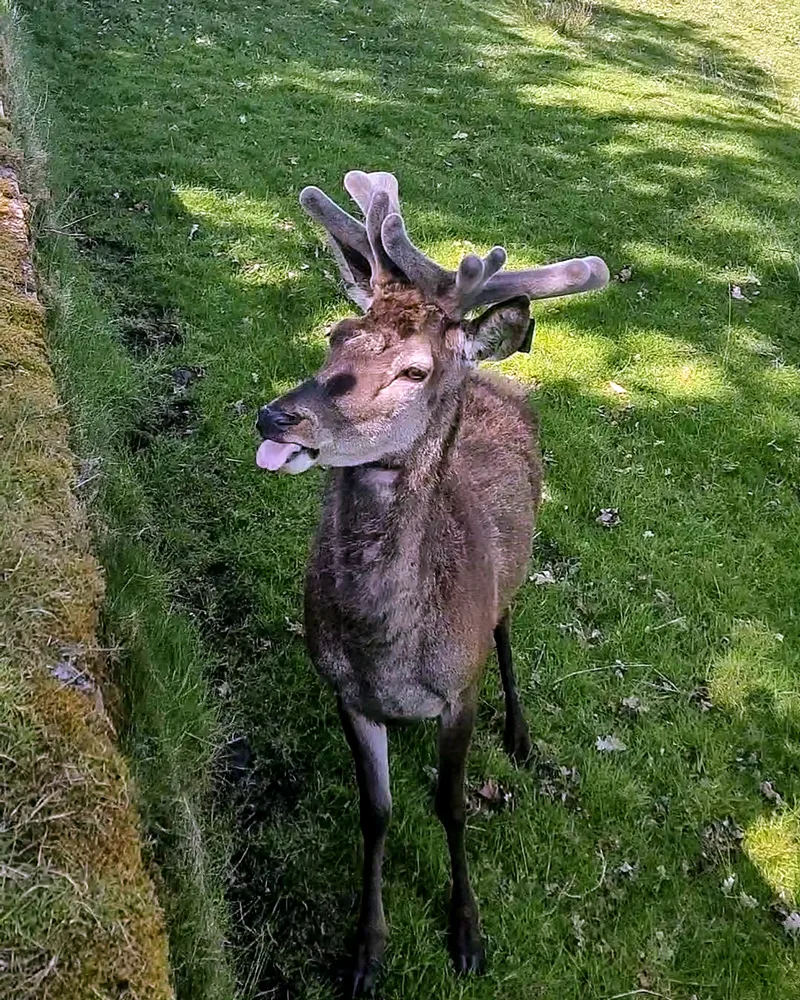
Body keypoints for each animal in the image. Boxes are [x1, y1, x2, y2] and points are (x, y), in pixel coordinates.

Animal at [256, 170, 608, 992]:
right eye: (336, 336)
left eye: (415, 369)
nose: (277, 418)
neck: (388, 650)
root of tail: (497, 379)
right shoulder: (344, 690)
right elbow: (376, 812)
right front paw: (366, 951)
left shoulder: (459, 689)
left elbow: (451, 806)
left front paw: (467, 934)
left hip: (512, 576)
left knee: (508, 627)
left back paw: (521, 733)